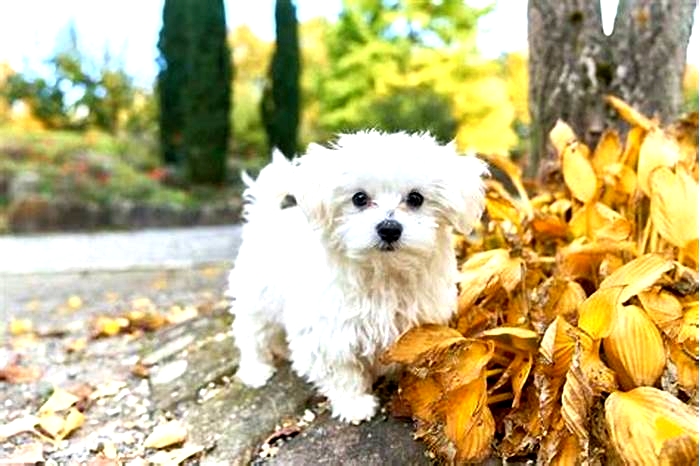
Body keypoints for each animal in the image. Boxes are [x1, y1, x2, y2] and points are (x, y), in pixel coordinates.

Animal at [230, 130, 486, 422]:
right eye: (359, 198)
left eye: (416, 199)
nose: (389, 228)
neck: (383, 275)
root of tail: (266, 218)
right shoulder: (329, 333)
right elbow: (342, 371)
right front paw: (354, 404)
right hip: (256, 299)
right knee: (251, 333)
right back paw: (256, 370)